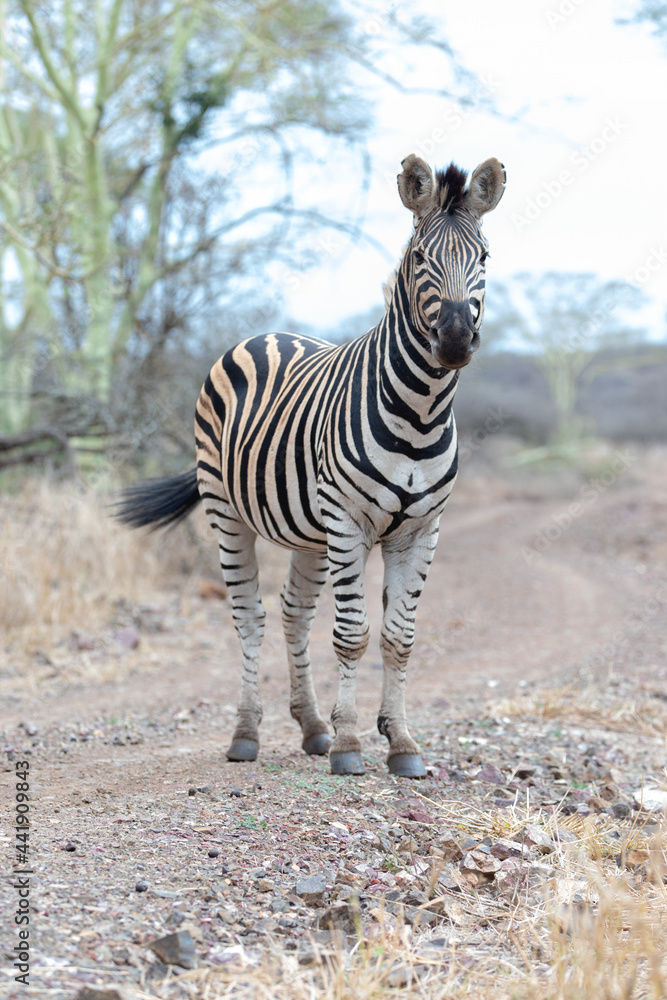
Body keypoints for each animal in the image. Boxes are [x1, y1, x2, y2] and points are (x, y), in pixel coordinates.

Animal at [116, 153, 506, 778]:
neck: (421, 412)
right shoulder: (349, 522)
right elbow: (351, 634)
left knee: (293, 613)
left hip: (310, 534)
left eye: (484, 258)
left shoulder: (422, 529)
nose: (453, 340)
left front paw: (400, 741)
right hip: (229, 512)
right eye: (420, 258)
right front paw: (350, 744)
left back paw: (312, 725)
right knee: (249, 616)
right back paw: (247, 734)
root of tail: (268, 333)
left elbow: (400, 636)